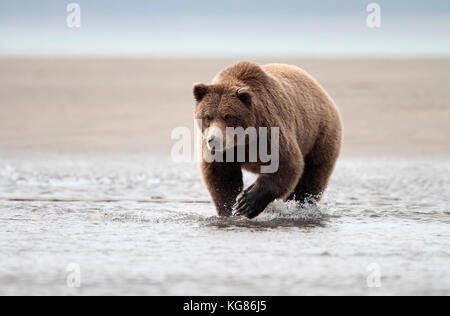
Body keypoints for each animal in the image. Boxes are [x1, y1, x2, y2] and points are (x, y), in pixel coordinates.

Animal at [192, 62, 342, 220]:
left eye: (228, 116)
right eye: (207, 116)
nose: (214, 140)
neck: (244, 139)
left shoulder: (269, 129)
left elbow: (285, 163)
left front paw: (246, 203)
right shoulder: (224, 151)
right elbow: (221, 175)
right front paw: (229, 209)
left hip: (319, 135)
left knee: (312, 177)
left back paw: (300, 205)